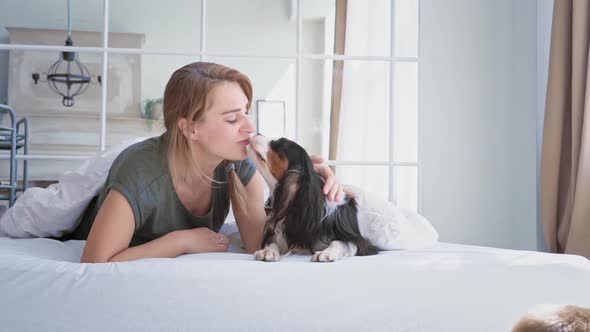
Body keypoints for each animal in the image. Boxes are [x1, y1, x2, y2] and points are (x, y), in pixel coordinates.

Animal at [246, 135, 376, 262]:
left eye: (280, 143)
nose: (256, 133)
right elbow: (273, 242)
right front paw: (268, 251)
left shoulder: (358, 241)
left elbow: (339, 242)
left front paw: (326, 253)